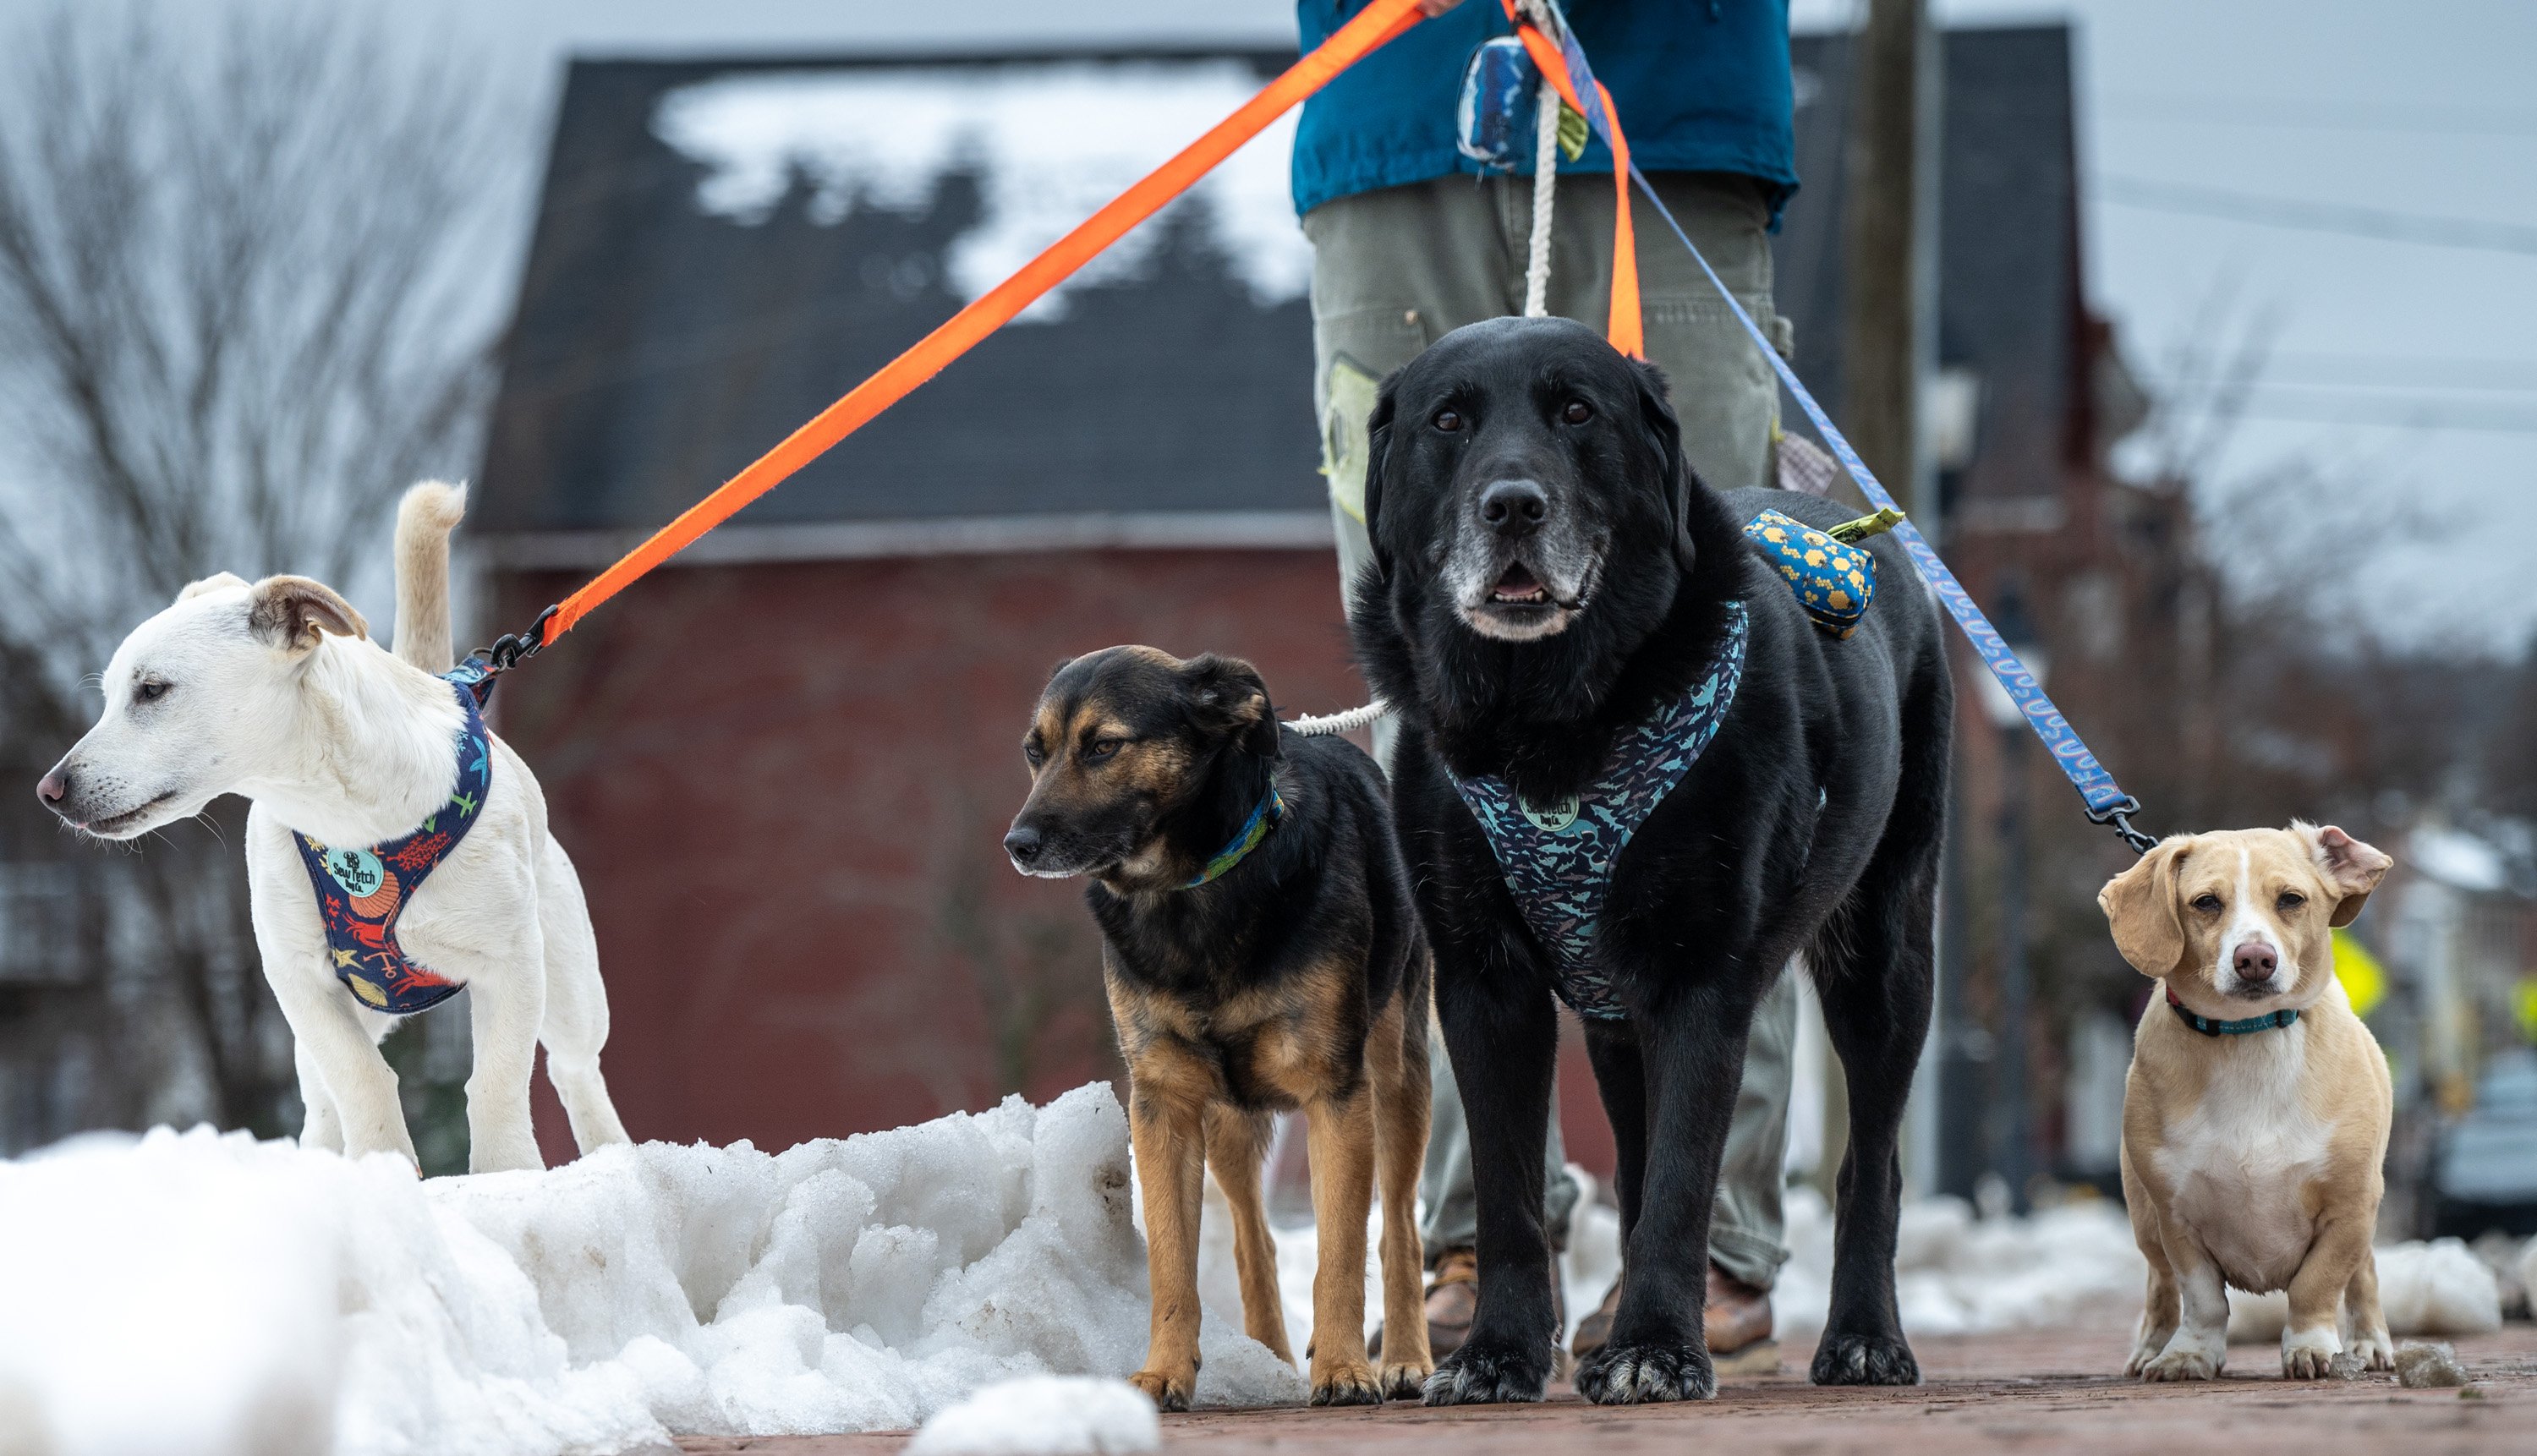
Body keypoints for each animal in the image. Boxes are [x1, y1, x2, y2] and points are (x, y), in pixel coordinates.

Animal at [39, 487, 629, 1177]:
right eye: (111, 696)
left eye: (152, 690)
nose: (49, 791)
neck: (345, 813)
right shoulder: (299, 976)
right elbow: (359, 1078)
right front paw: (384, 1169)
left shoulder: (510, 962)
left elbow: (497, 1081)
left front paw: (506, 1175)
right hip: (346, 1012)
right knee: (323, 1101)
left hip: (568, 981)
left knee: (576, 1070)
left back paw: (616, 1159)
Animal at [1010, 649, 1451, 1420]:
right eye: (1036, 752)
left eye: (1103, 746)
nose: (1018, 845)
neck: (1191, 890)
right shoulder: (1165, 1104)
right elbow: (1172, 1266)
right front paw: (1163, 1373)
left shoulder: (1338, 1097)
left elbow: (1340, 1254)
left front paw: (1343, 1367)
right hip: (1228, 1123)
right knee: (1253, 1240)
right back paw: (1270, 1362)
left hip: (1399, 1083)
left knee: (1397, 1226)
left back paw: (1402, 1360)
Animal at [1360, 317, 1948, 1400]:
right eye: (1449, 420)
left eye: (1576, 411)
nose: (1515, 506)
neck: (1547, 722)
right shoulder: (1482, 980)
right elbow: (1513, 1192)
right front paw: (1498, 1353)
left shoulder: (1698, 976)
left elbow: (1682, 1181)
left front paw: (1656, 1350)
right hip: (1613, 1021)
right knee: (1634, 1162)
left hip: (1884, 954)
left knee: (1871, 1166)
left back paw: (1863, 1339)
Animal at [2101, 827, 2395, 1390]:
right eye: (2206, 903)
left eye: (2292, 899)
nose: (2255, 958)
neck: (2249, 1035)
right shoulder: (2176, 1216)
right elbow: (2201, 1298)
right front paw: (2189, 1355)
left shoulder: (2348, 1208)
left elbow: (2318, 1284)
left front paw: (2311, 1348)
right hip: (2145, 1222)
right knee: (2160, 1286)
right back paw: (2151, 1347)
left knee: (2365, 1277)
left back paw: (2369, 1344)